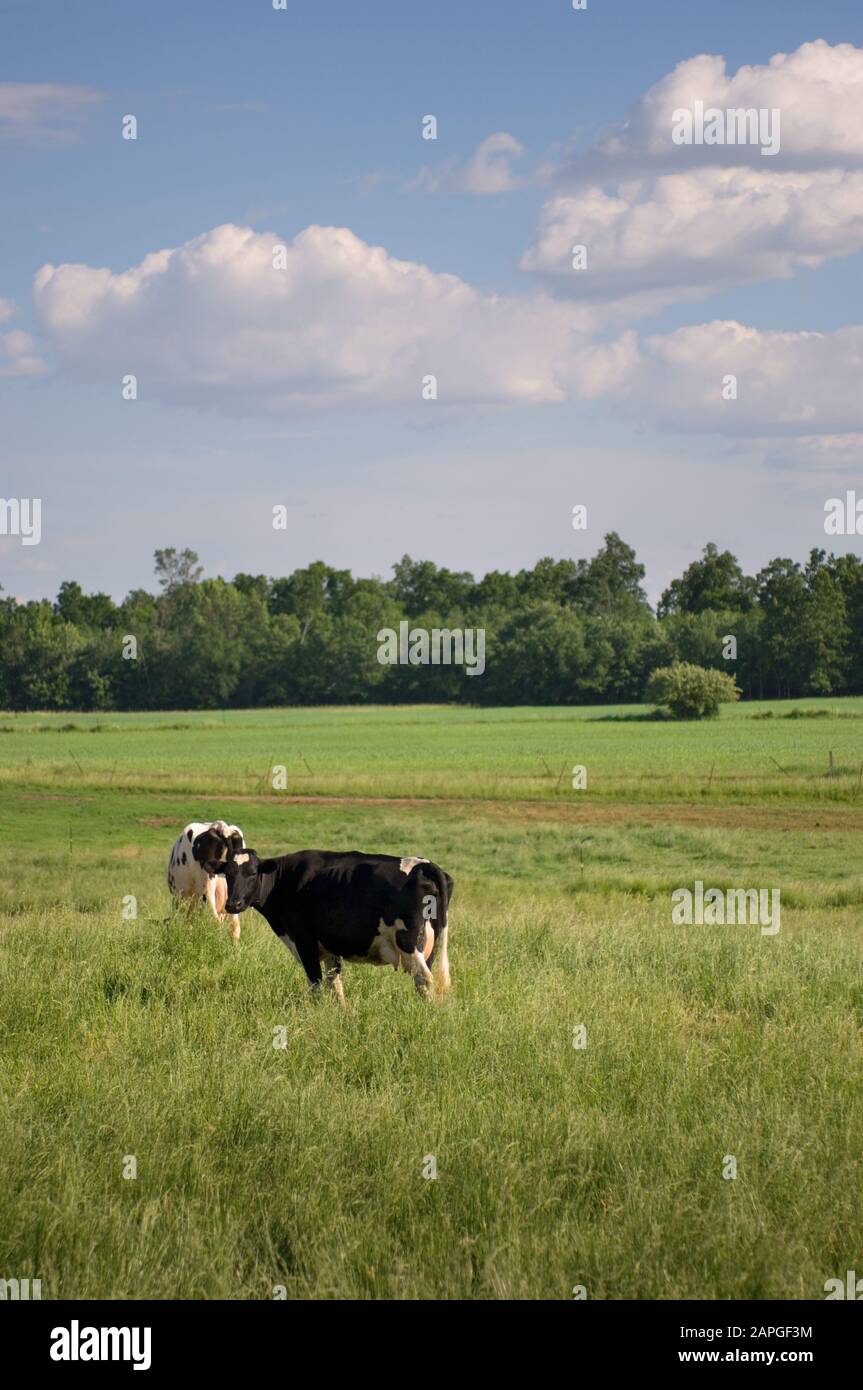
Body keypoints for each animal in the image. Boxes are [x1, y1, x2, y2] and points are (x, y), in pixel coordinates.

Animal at [204, 848, 453, 1002]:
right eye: (228, 874)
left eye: (253, 873)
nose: (233, 904)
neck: (286, 881)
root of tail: (424, 864)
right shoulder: (329, 948)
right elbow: (335, 982)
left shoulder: (304, 942)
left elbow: (316, 983)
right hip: (429, 945)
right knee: (424, 981)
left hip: (408, 943)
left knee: (426, 979)